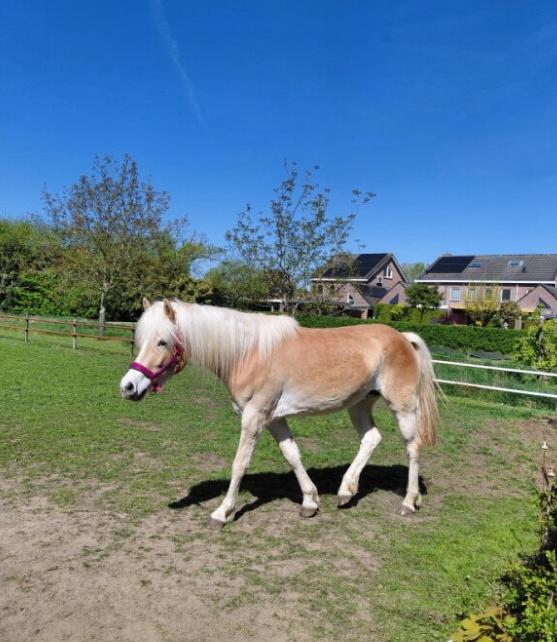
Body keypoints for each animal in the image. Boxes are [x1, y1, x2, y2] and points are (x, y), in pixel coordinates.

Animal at [120, 298, 439, 528]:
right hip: (358, 405)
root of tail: (403, 338)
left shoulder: (254, 418)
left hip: (402, 407)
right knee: (371, 439)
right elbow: (293, 455)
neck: (248, 353)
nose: (128, 386)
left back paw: (409, 502)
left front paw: (222, 512)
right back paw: (346, 491)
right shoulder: (275, 420)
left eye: (162, 341)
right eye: (140, 339)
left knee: (412, 447)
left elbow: (239, 464)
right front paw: (310, 502)